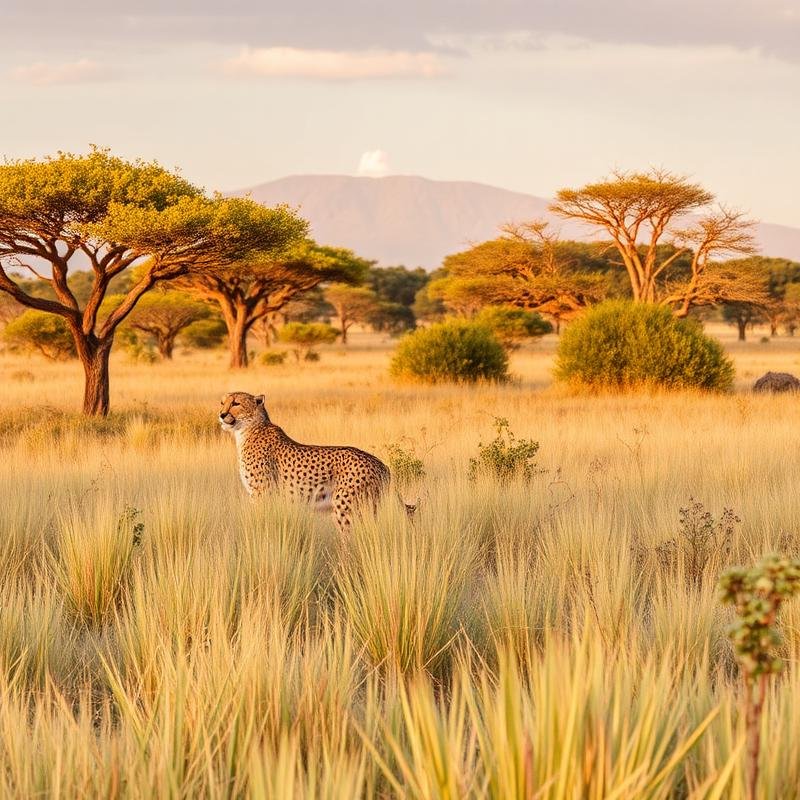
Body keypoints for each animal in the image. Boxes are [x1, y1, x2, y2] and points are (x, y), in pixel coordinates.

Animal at [219, 391, 396, 533]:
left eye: (236, 403)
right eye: (222, 403)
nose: (221, 414)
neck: (248, 429)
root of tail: (381, 464)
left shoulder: (262, 493)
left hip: (344, 507)